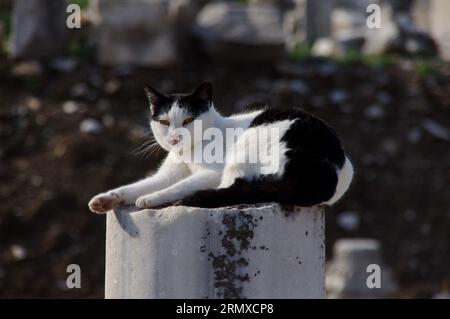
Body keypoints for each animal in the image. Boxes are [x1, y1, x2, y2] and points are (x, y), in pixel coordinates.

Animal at [88, 82, 354, 214]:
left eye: (188, 120)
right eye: (164, 122)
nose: (175, 138)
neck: (188, 154)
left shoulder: (211, 173)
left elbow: (177, 186)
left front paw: (152, 199)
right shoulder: (166, 175)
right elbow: (133, 187)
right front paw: (105, 200)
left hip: (249, 145)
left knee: (229, 190)